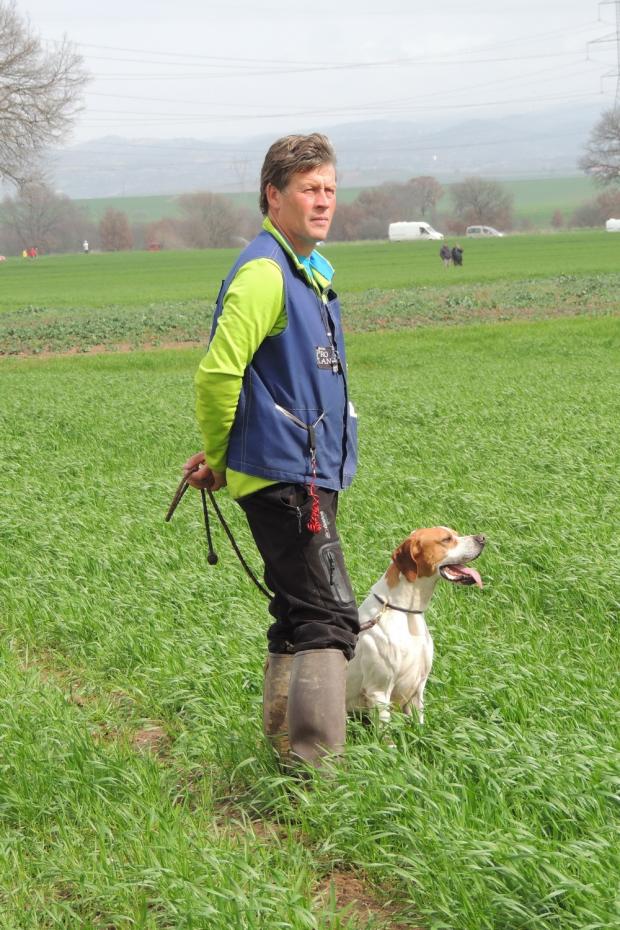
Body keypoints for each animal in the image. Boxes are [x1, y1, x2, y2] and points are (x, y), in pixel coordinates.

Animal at [346, 524, 486, 720]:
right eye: (446, 539)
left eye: (456, 534)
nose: (482, 538)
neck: (405, 611)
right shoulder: (379, 693)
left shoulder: (417, 692)